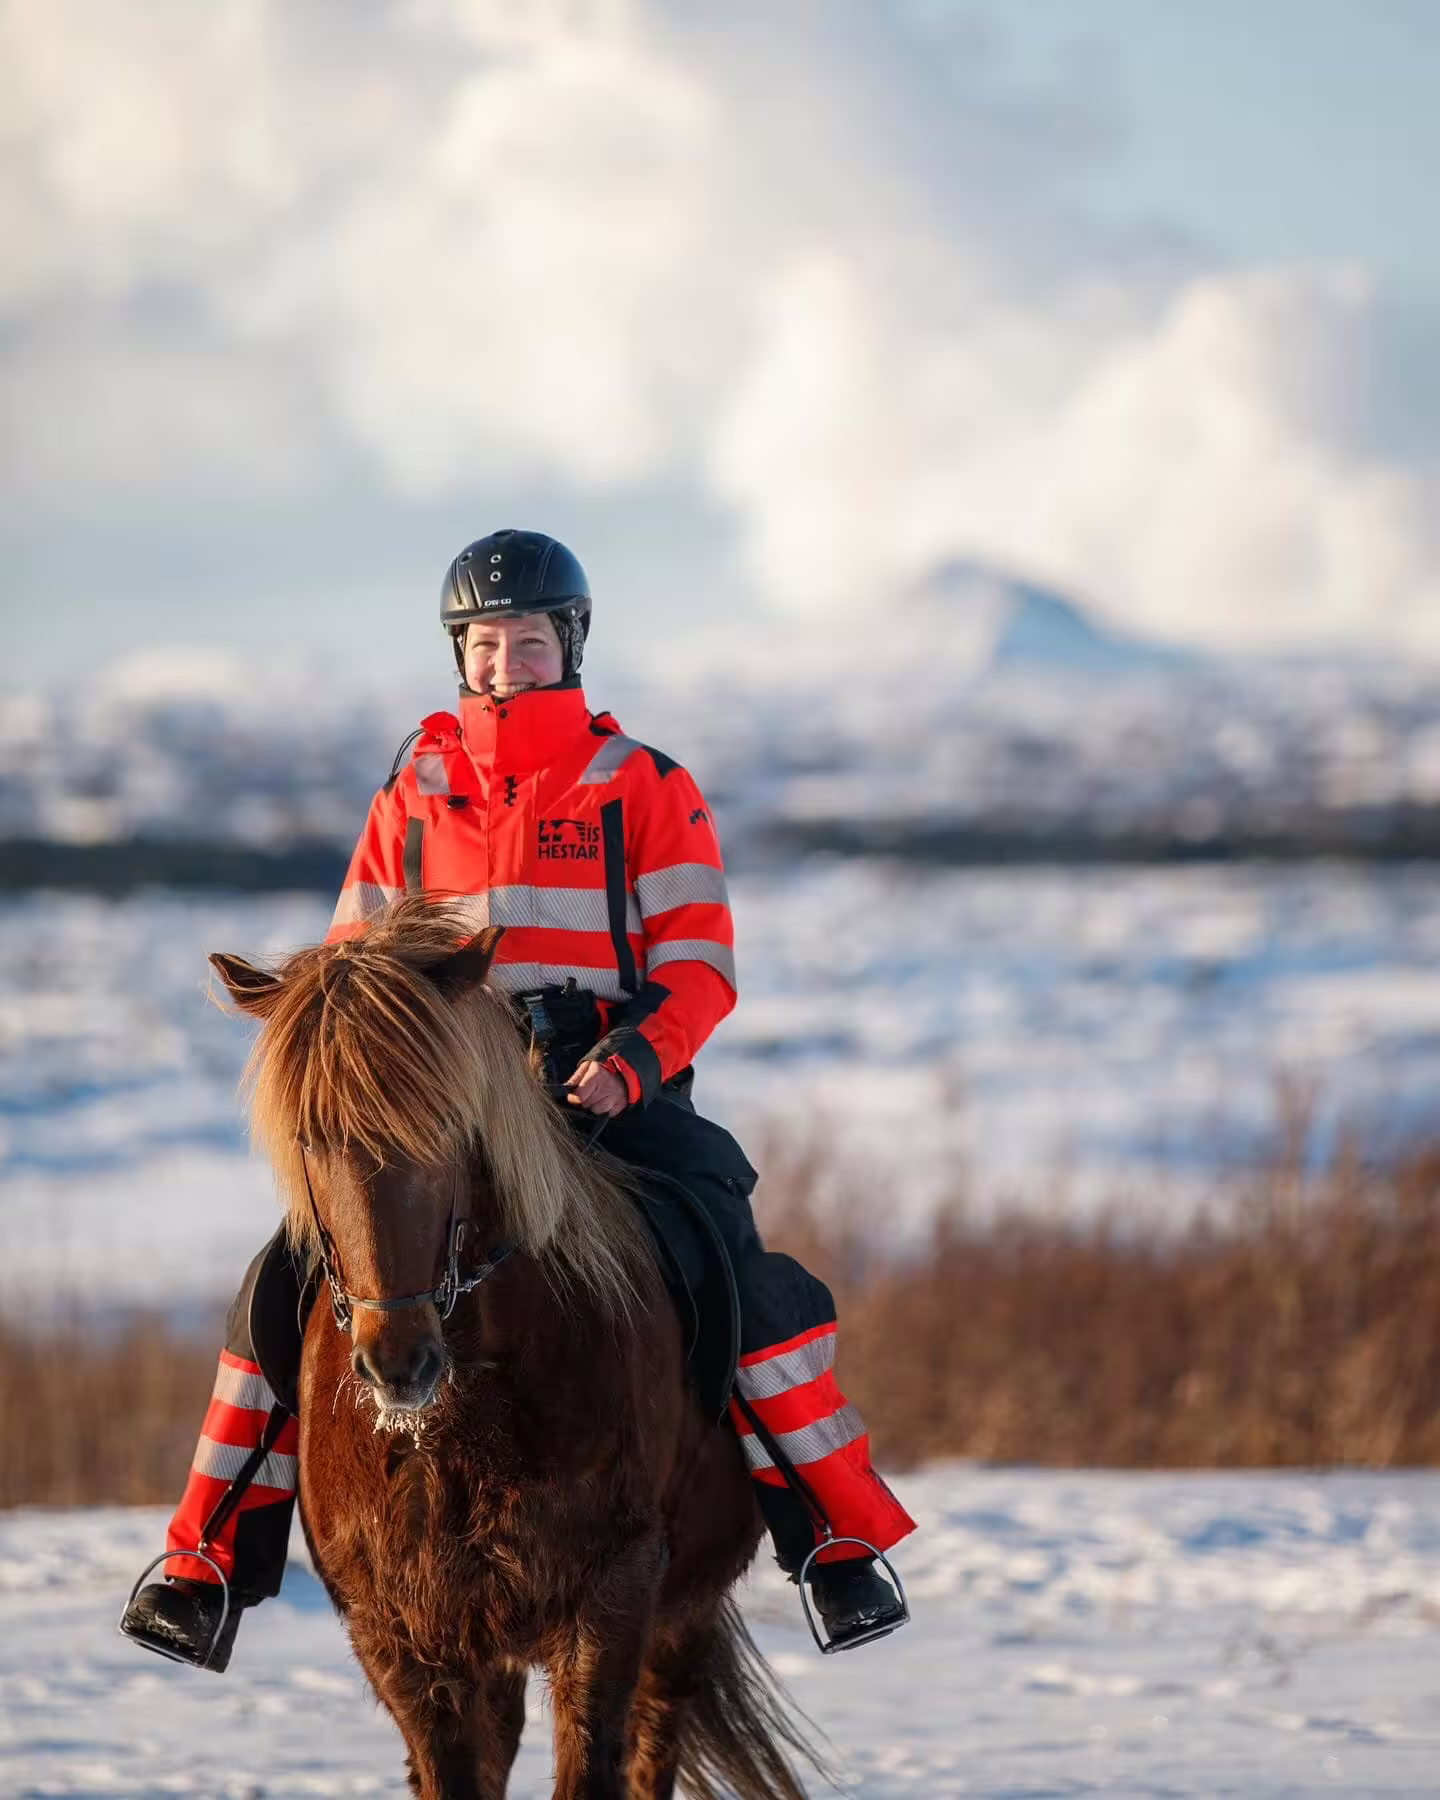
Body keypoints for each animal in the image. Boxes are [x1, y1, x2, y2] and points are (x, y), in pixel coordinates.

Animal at [209, 897, 819, 1800]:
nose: (399, 1363)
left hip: (682, 1617)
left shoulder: (611, 1602)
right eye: (311, 1138)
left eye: (444, 1123)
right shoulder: (402, 1636)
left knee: (653, 1747)